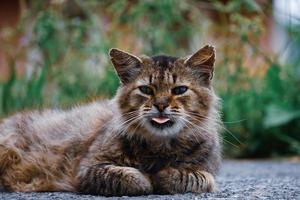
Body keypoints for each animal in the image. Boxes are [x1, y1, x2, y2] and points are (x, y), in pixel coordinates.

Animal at [0, 44, 221, 196]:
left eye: (180, 90)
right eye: (146, 90)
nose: (160, 105)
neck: (160, 148)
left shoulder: (206, 171)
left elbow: (194, 177)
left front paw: (162, 176)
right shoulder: (87, 170)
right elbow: (133, 178)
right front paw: (149, 179)